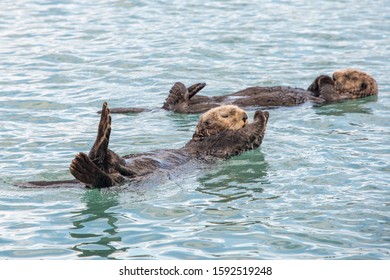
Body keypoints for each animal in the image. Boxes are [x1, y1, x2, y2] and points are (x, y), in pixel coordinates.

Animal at [21, 103, 270, 188]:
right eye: (227, 114)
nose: (244, 116)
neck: (201, 139)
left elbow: (249, 137)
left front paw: (261, 115)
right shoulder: (222, 141)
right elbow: (247, 135)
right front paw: (261, 115)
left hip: (127, 177)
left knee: (108, 180)